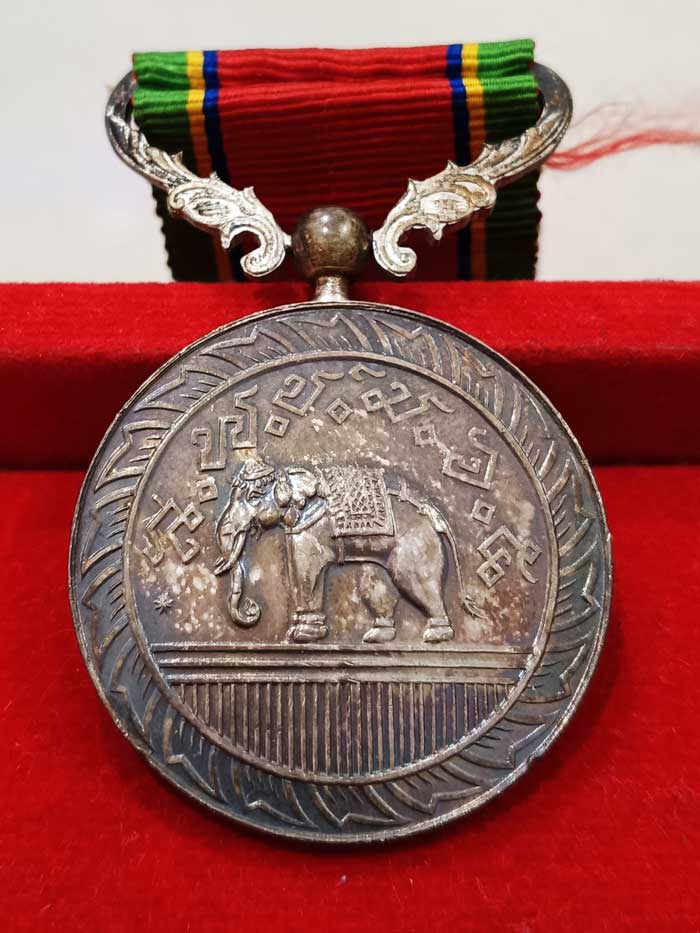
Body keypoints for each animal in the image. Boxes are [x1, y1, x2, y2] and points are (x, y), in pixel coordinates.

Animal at [213, 456, 485, 644]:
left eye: (253, 498)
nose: (252, 610)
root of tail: (434, 514)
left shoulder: (312, 528)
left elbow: (307, 574)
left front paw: (303, 636)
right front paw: (299, 632)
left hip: (415, 545)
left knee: (416, 583)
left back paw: (435, 636)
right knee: (375, 582)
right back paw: (377, 636)